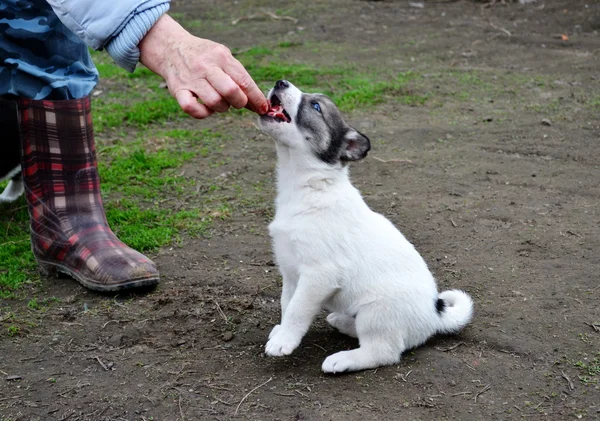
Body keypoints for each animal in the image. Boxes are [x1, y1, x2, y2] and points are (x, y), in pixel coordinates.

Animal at [258, 80, 474, 372]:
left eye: (316, 106)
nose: (281, 82)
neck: (309, 187)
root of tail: (435, 314)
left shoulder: (319, 275)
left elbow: (297, 309)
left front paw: (284, 341)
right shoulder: (291, 272)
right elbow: (286, 303)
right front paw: (282, 331)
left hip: (376, 312)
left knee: (383, 351)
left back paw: (342, 360)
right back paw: (341, 322)